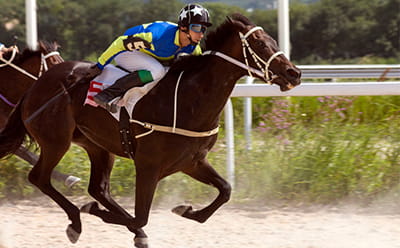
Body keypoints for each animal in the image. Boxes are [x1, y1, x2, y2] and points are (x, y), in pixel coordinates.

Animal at [0, 14, 300, 247]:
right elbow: (141, 214)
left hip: (97, 146)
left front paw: (186, 210)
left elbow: (225, 190)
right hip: (56, 140)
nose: (294, 73)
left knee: (98, 189)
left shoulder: (191, 161)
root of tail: (36, 85)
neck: (188, 99)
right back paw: (77, 220)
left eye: (273, 40)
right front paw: (98, 214)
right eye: (260, 42)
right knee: (39, 178)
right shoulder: (148, 165)